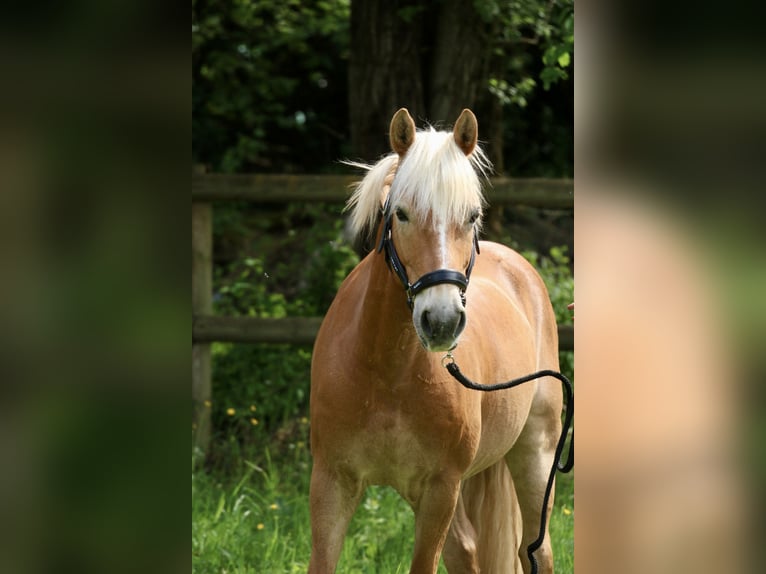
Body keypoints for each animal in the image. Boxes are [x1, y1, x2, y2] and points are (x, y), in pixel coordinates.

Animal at [306, 109, 564, 574]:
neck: (385, 372)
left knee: (535, 552)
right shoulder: (331, 483)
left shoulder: (440, 488)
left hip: (535, 455)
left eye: (472, 216)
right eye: (402, 214)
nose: (441, 321)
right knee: (466, 551)